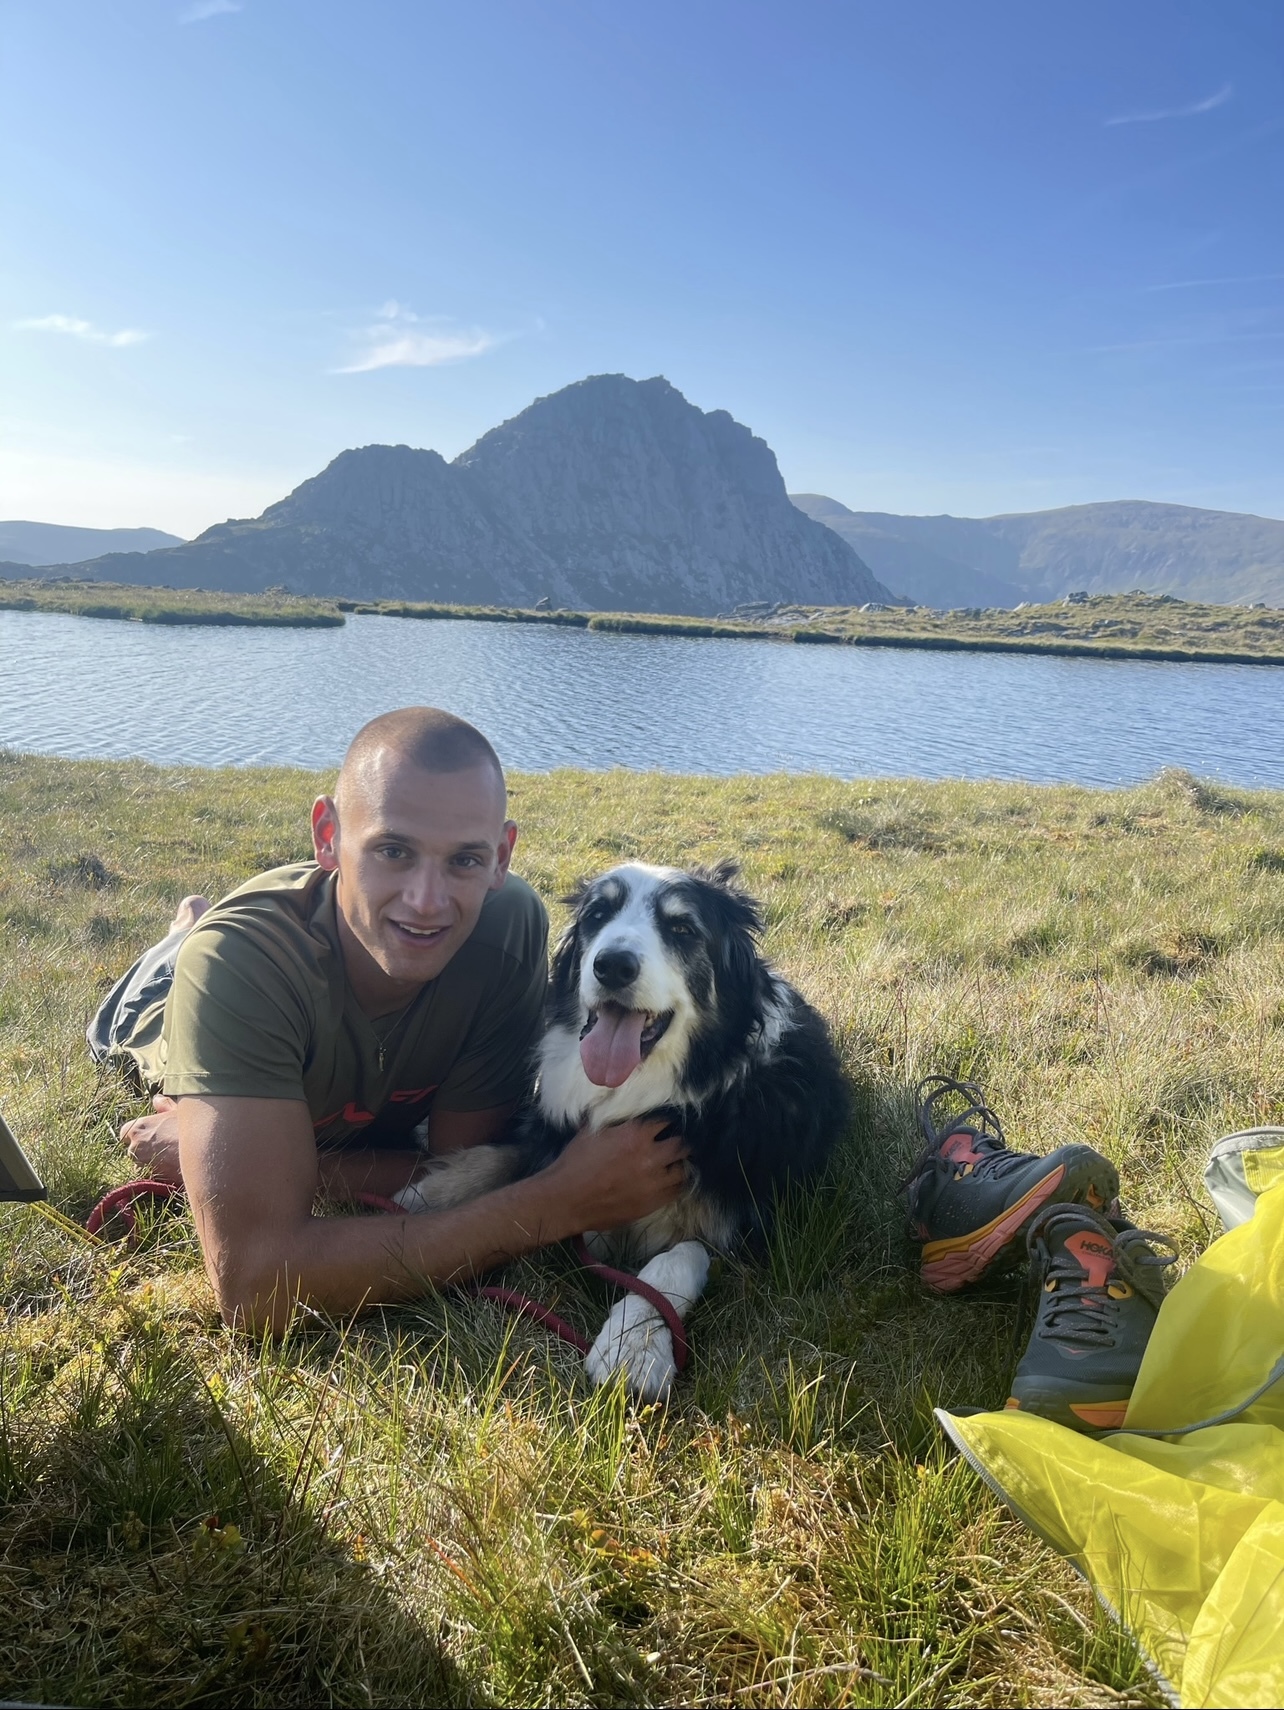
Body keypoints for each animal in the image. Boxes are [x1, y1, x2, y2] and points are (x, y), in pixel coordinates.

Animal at [396, 861, 848, 1395]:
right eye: (598, 914)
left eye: (682, 928)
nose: (612, 966)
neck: (652, 1100)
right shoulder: (554, 1133)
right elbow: (507, 1154)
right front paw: (426, 1198)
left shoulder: (751, 1230)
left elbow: (675, 1260)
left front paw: (633, 1348)